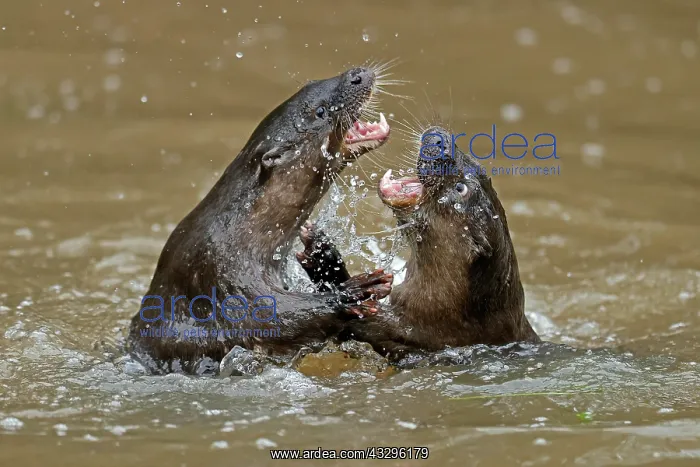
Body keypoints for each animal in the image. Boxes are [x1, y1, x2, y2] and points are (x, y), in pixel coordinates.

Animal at [127, 66, 394, 374]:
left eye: (314, 81)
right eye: (321, 111)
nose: (356, 75)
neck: (243, 228)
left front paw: (323, 254)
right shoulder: (224, 273)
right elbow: (274, 319)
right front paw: (352, 293)